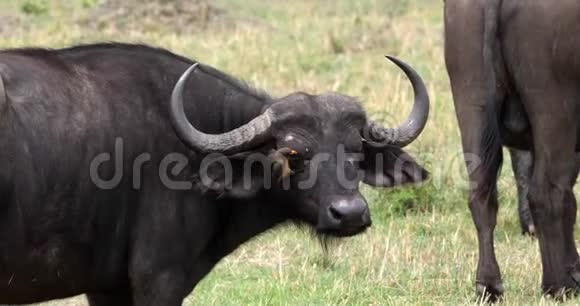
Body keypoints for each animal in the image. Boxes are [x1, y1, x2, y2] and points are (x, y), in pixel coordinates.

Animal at [446, 0, 580, 298]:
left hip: (471, 100)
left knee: (482, 195)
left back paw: (489, 284)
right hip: (557, 114)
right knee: (548, 193)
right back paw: (561, 283)